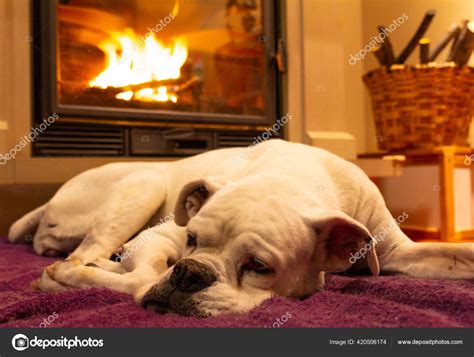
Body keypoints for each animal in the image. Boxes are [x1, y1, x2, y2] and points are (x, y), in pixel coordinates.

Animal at [7, 140, 474, 316]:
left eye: (259, 267)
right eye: (192, 239)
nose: (190, 272)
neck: (295, 177)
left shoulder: (399, 251)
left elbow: (457, 254)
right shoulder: (163, 236)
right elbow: (140, 278)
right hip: (145, 183)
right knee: (81, 256)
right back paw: (70, 273)